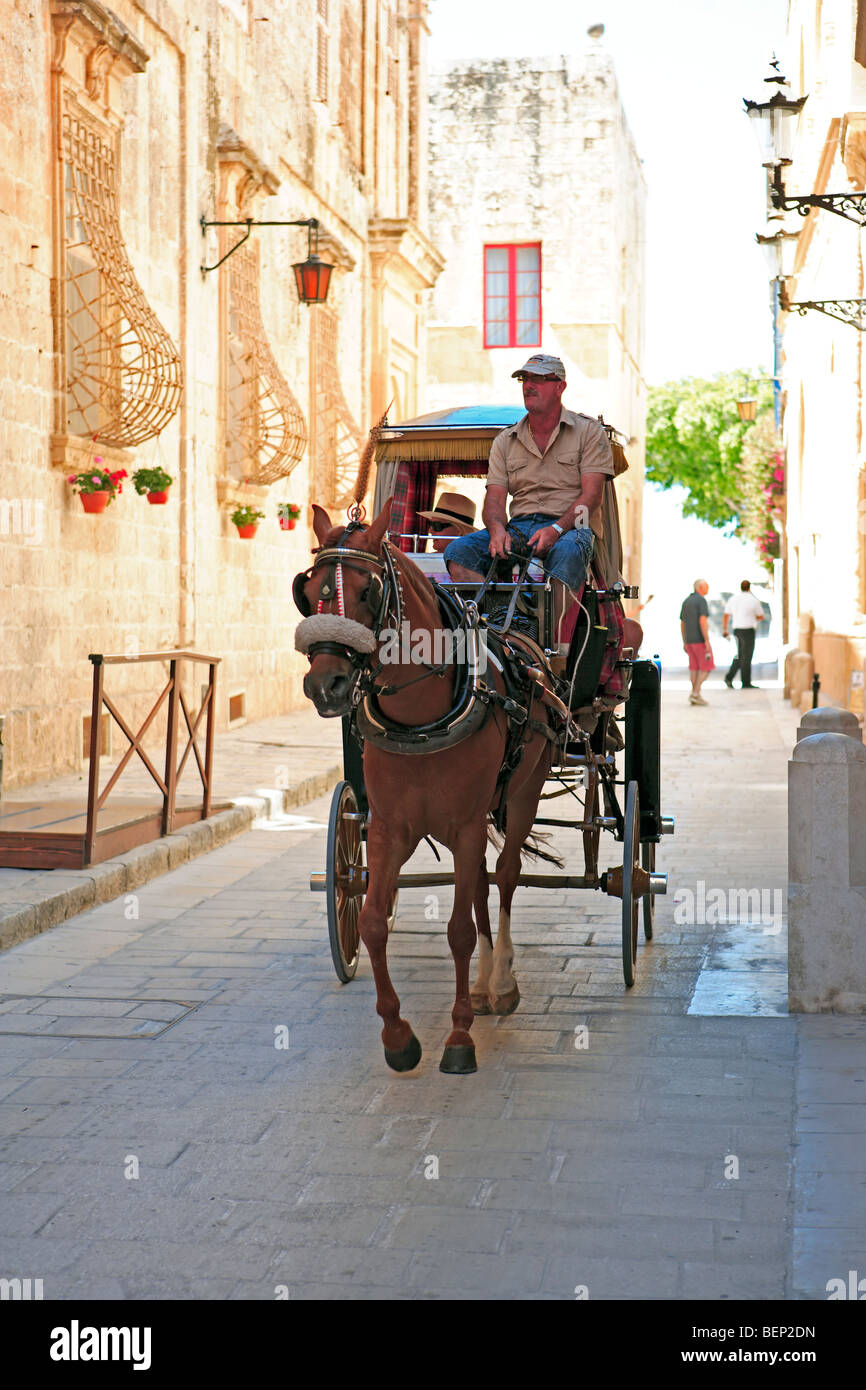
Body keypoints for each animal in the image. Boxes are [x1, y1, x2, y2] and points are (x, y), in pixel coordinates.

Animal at [293, 499, 565, 1075]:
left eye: (369, 591)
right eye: (309, 592)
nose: (324, 685)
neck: (421, 716)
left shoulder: (463, 824)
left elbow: (458, 930)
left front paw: (459, 1039)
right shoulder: (391, 827)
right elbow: (372, 921)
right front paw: (398, 1038)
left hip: (523, 794)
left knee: (505, 874)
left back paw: (500, 981)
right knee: (482, 881)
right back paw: (484, 986)